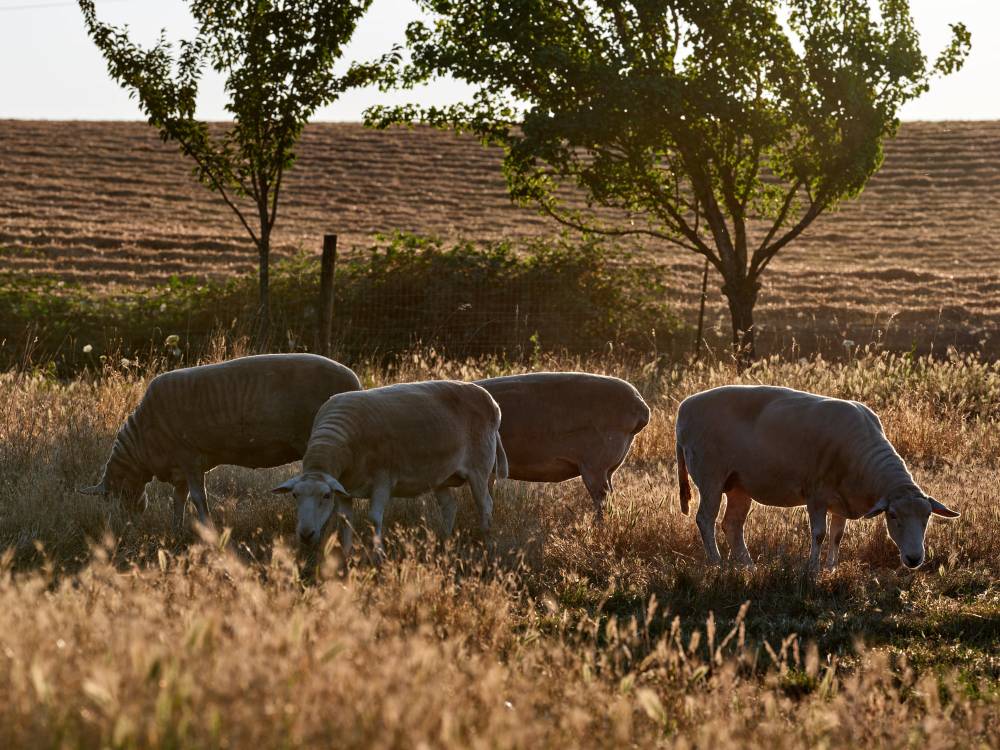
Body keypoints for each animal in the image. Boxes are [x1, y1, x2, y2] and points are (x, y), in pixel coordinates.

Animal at [78, 353, 363, 531]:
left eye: (114, 495)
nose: (127, 524)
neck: (143, 443)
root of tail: (355, 384)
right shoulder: (179, 468)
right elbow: (178, 500)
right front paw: (176, 530)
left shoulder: (189, 457)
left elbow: (197, 498)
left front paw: (207, 528)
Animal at [272, 380, 507, 561]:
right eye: (294, 495)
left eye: (326, 496)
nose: (306, 535)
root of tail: (492, 402)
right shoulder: (345, 488)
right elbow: (345, 520)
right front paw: (346, 556)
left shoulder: (383, 479)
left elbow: (374, 519)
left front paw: (379, 556)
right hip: (440, 476)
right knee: (449, 507)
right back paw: (444, 544)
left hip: (479, 469)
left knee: (485, 506)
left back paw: (488, 546)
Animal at [675, 385, 959, 570]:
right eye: (894, 516)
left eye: (927, 517)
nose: (914, 559)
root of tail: (684, 408)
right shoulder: (816, 494)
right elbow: (820, 534)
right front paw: (812, 570)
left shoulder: (842, 499)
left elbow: (837, 535)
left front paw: (831, 568)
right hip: (710, 476)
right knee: (705, 520)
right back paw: (717, 563)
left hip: (738, 485)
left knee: (732, 524)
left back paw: (748, 566)